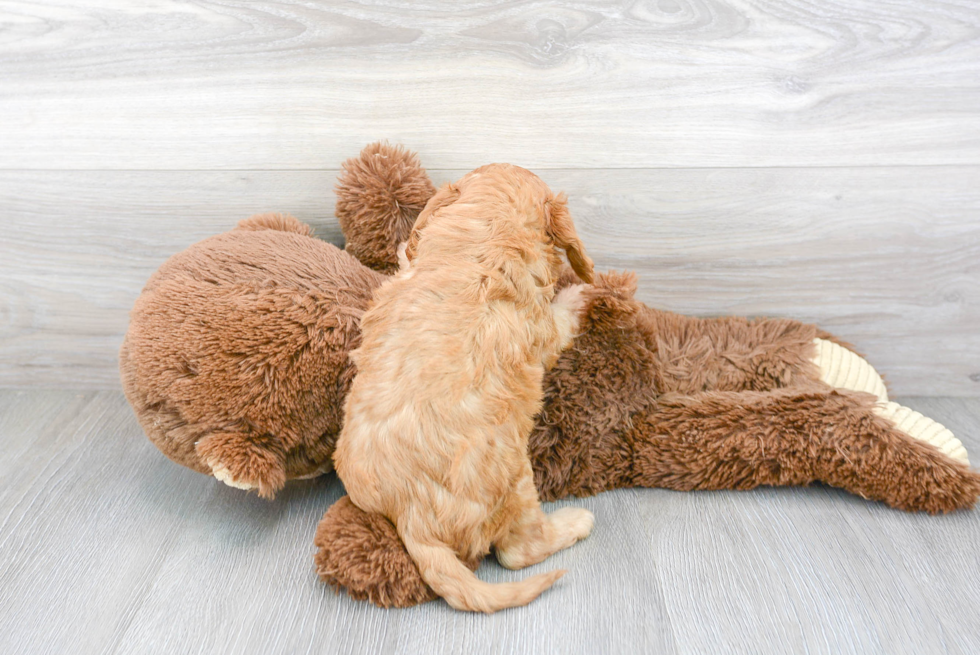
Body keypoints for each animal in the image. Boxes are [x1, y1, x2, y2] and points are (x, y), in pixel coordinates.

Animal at [334, 164, 596, 616]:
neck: (482, 238)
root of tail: (410, 517)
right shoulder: (541, 329)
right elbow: (560, 321)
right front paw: (581, 292)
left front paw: (403, 248)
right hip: (515, 478)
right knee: (517, 552)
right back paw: (575, 522)